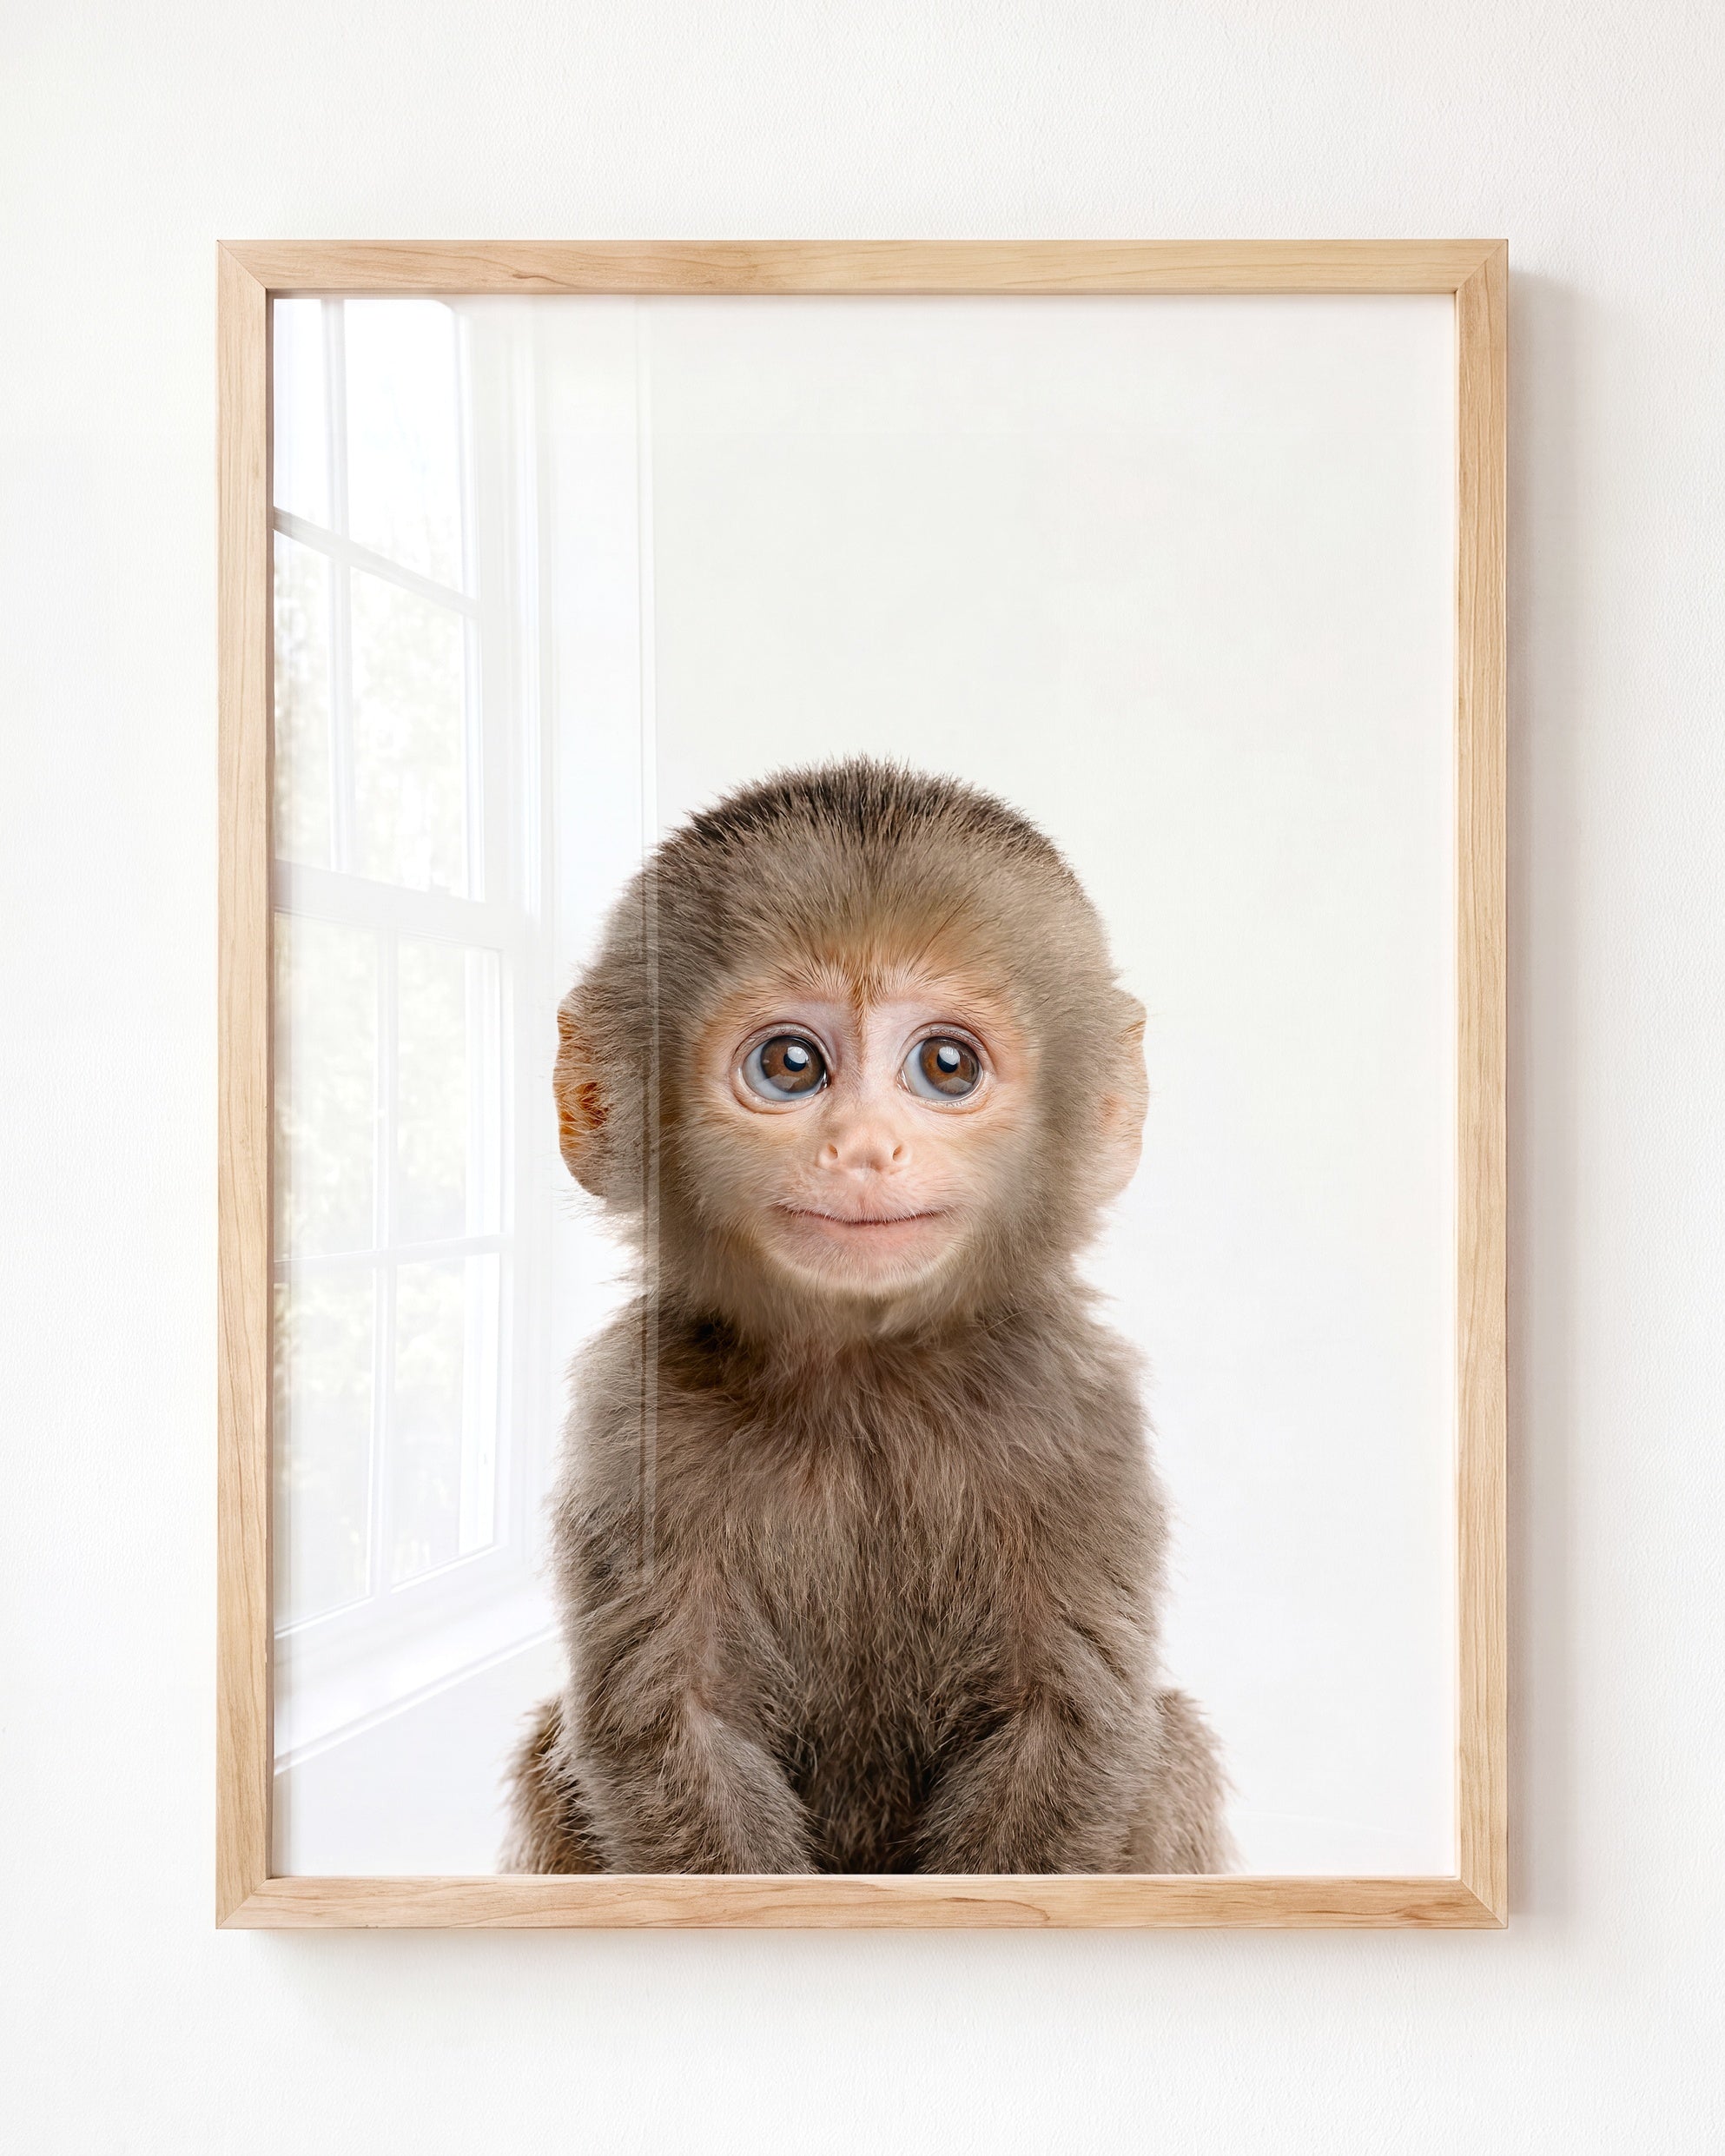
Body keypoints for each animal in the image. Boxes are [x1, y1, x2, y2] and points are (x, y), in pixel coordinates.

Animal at [501, 759, 1230, 1875]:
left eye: (945, 1067)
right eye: (791, 1065)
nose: (863, 1148)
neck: (863, 1378)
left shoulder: (1079, 1412)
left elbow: (1065, 1724)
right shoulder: (633, 1416)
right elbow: (672, 1727)